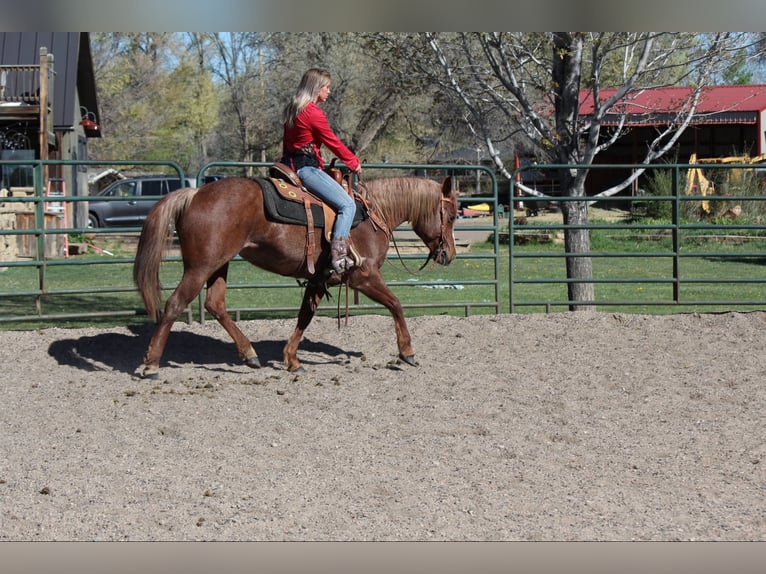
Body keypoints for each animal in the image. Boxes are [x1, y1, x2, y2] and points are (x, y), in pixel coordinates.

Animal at [132, 175, 459, 378]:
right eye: (454, 215)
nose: (450, 255)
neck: (372, 216)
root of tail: (195, 193)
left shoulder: (318, 279)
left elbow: (305, 316)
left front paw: (291, 359)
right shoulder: (363, 277)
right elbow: (396, 304)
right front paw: (407, 352)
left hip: (218, 265)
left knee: (215, 303)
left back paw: (249, 353)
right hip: (199, 267)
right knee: (175, 304)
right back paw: (151, 363)